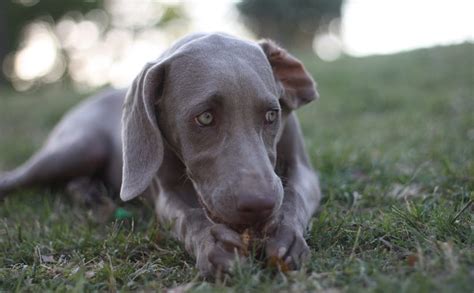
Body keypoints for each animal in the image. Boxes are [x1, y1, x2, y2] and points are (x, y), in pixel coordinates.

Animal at [0, 32, 320, 276]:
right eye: (205, 117)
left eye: (271, 115)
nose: (259, 205)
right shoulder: (165, 192)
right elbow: (188, 216)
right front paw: (213, 245)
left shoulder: (304, 170)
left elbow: (295, 196)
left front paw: (286, 236)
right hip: (80, 146)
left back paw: (93, 197)